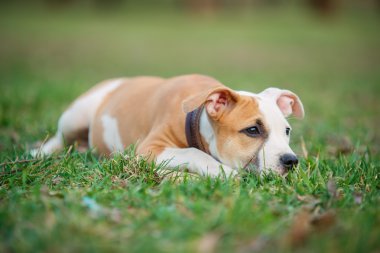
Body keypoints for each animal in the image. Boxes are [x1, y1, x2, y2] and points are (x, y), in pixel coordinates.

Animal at [32, 74, 306, 177]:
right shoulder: (149, 148)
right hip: (77, 114)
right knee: (59, 137)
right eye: (252, 130)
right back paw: (39, 153)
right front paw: (223, 172)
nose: (291, 161)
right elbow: (193, 152)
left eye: (287, 131)